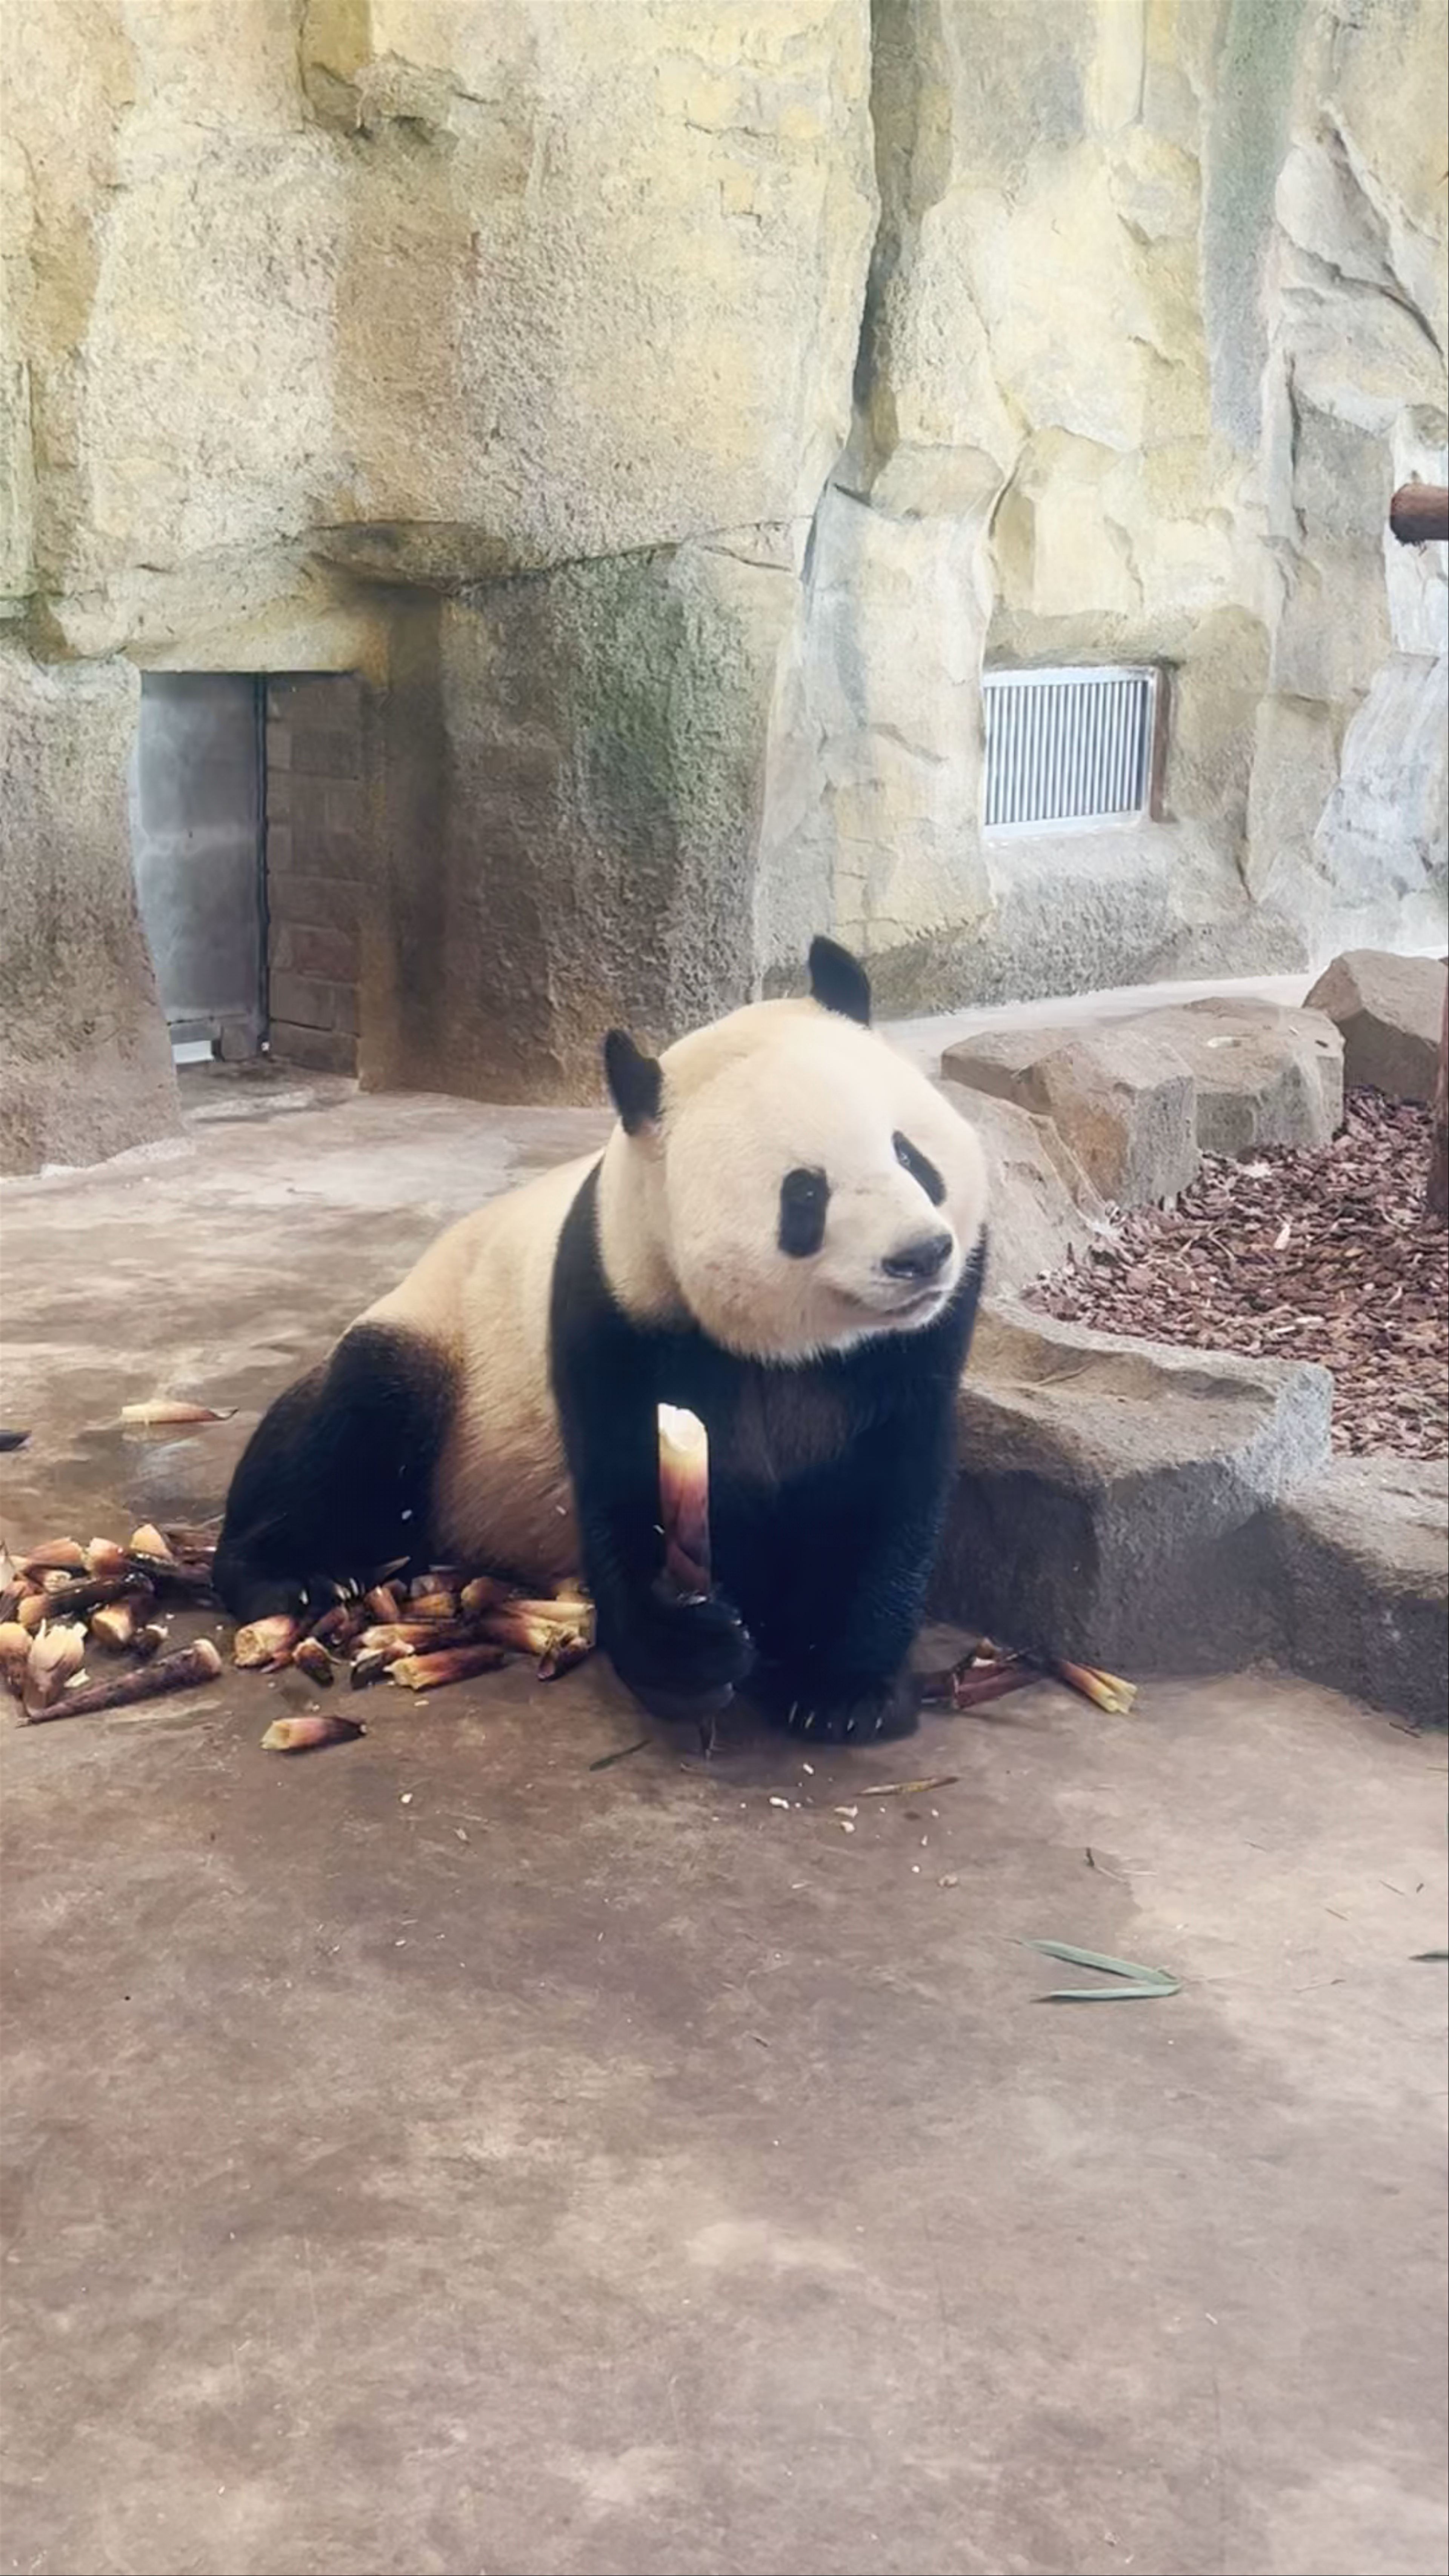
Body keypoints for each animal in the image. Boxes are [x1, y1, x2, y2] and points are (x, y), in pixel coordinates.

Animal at [214, 939, 988, 1741]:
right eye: (805, 1193)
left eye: (911, 1156)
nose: (921, 1254)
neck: (792, 1347)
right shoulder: (618, 1305)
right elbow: (626, 1490)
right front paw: (694, 1653)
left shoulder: (913, 1348)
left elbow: (886, 1488)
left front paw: (843, 1690)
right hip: (441, 1352)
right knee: (350, 1426)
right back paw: (292, 1580)